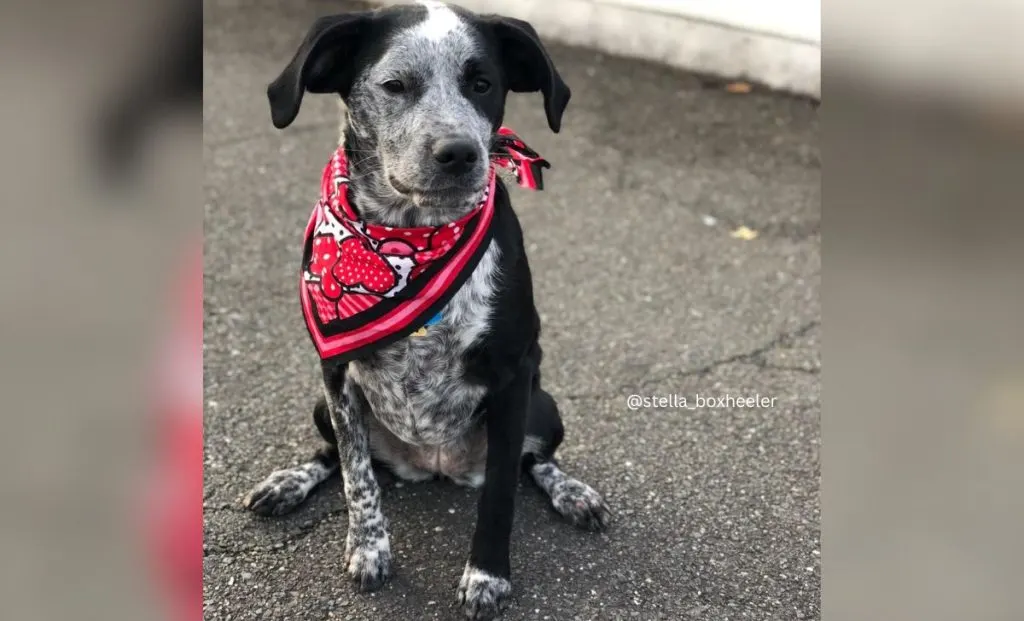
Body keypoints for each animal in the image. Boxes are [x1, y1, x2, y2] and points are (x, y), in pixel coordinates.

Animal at [239, 3, 606, 618]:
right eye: (394, 85)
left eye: (483, 84)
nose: (460, 154)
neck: (411, 237)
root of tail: (433, 466)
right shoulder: (335, 372)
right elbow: (356, 476)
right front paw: (368, 550)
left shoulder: (513, 378)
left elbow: (502, 494)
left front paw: (487, 575)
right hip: (320, 405)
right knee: (331, 454)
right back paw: (288, 482)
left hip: (544, 405)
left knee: (537, 461)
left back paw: (574, 493)